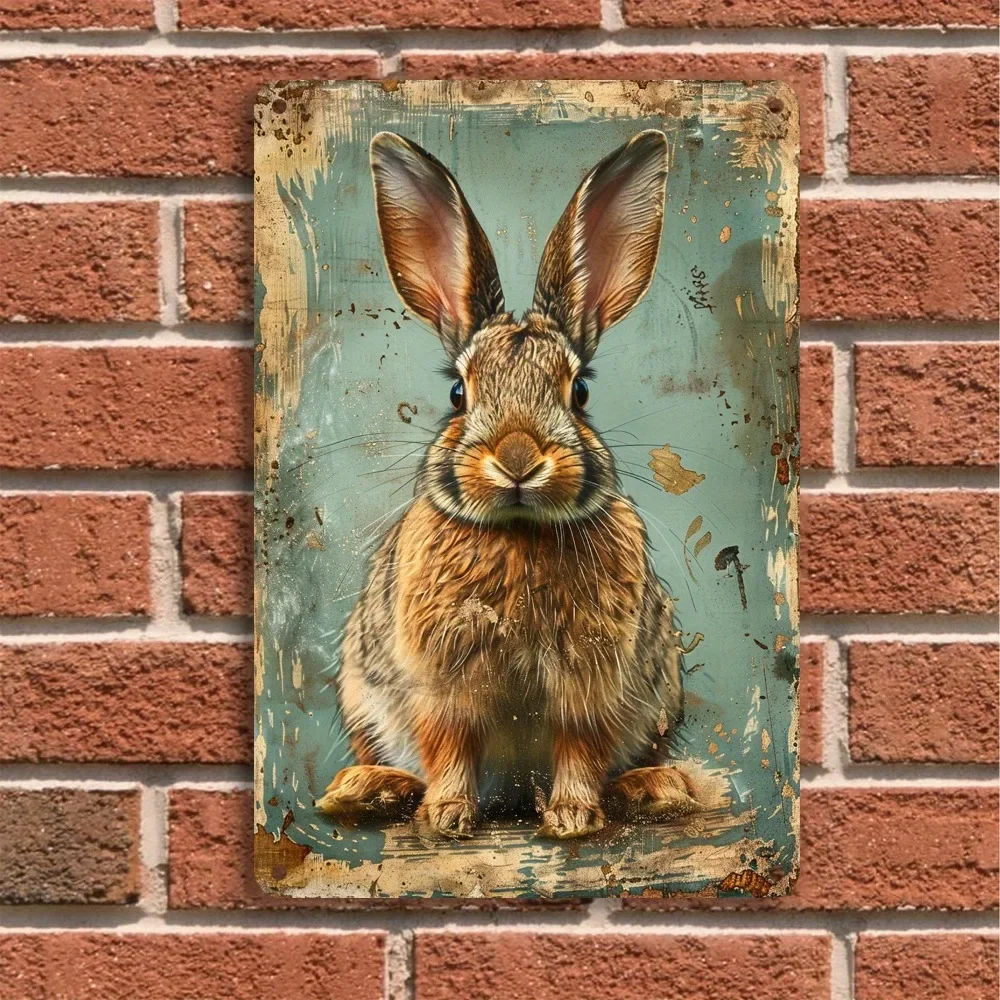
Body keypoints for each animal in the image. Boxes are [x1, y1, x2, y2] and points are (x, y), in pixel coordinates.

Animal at [315, 128, 698, 840]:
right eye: (458, 393)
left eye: (580, 392)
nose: (518, 458)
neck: (519, 532)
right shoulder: (441, 684)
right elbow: (448, 745)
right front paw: (446, 817)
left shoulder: (592, 684)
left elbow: (580, 746)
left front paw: (572, 817)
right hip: (361, 691)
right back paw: (368, 789)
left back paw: (655, 789)